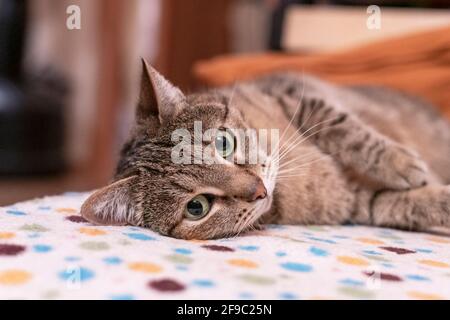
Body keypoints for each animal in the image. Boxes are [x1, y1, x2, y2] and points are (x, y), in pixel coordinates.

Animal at [81, 60, 450, 239]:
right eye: (197, 207)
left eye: (223, 142)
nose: (259, 191)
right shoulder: (359, 203)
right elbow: (405, 204)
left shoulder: (297, 98)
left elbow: (347, 131)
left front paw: (402, 163)